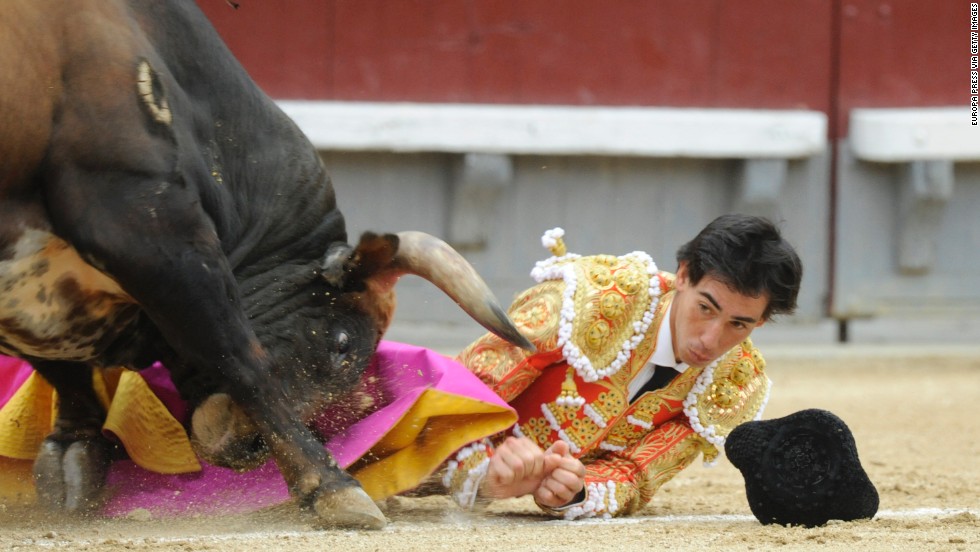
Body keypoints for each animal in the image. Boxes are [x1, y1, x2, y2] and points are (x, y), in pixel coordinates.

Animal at [0, 0, 532, 528]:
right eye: (342, 343)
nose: (248, 447)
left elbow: (60, 365)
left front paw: (74, 453)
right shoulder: (147, 224)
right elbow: (241, 358)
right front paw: (332, 487)